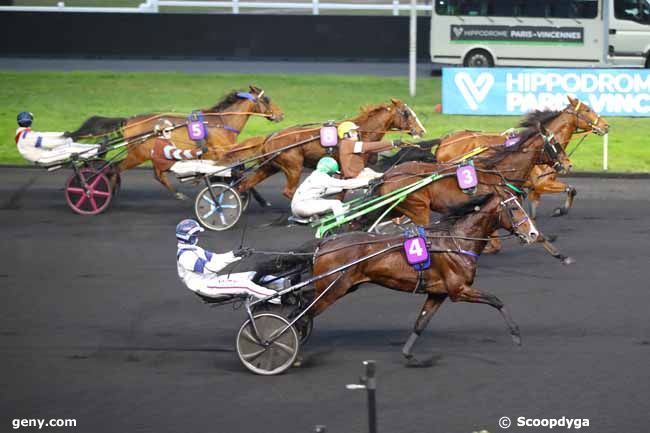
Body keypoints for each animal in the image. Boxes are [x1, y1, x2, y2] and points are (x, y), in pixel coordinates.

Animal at [66, 85, 284, 197]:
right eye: (266, 99)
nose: (281, 114)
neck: (221, 122)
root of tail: (129, 120)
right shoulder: (221, 152)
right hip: (138, 154)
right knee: (114, 168)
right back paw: (97, 190)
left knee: (154, 173)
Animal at [230, 98, 428, 198]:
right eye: (407, 113)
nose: (422, 130)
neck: (359, 133)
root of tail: (270, 137)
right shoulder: (348, 167)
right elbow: (344, 189)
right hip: (293, 166)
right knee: (289, 191)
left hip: (270, 166)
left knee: (244, 185)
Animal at [308, 192, 536, 364]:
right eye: (514, 208)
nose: (533, 234)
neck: (456, 242)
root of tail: (325, 244)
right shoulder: (459, 290)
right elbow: (496, 300)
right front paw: (516, 335)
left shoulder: (438, 293)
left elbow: (421, 322)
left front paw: (408, 354)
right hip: (332, 290)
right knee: (306, 315)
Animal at [432, 98, 604, 219]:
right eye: (587, 109)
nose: (605, 125)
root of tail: (445, 140)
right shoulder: (542, 183)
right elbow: (571, 189)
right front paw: (560, 210)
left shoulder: (534, 188)